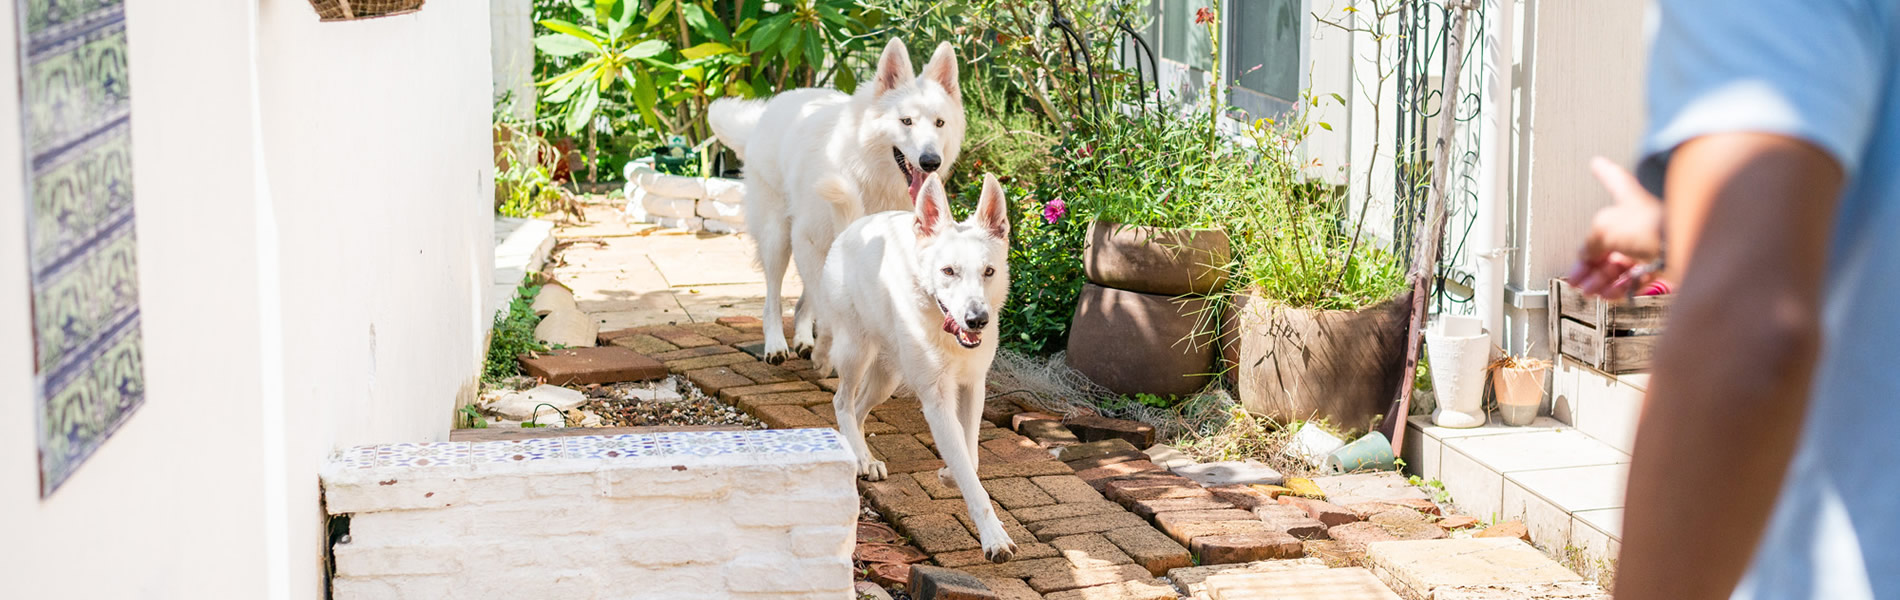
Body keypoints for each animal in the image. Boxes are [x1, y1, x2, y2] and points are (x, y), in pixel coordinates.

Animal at [706, 39, 965, 366]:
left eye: (939, 123)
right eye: (906, 121)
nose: (931, 161)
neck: (867, 173)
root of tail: (770, 109)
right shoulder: (807, 238)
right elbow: (824, 302)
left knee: (804, 301)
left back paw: (804, 340)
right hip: (778, 239)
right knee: (774, 297)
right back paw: (776, 344)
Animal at [820, 173, 1026, 562]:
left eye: (989, 272)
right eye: (948, 271)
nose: (977, 320)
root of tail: (855, 227)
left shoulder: (973, 387)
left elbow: (970, 456)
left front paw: (950, 473)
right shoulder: (937, 400)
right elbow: (972, 478)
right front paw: (994, 536)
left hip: (887, 378)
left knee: (858, 407)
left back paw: (864, 456)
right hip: (856, 352)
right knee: (841, 401)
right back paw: (859, 457)